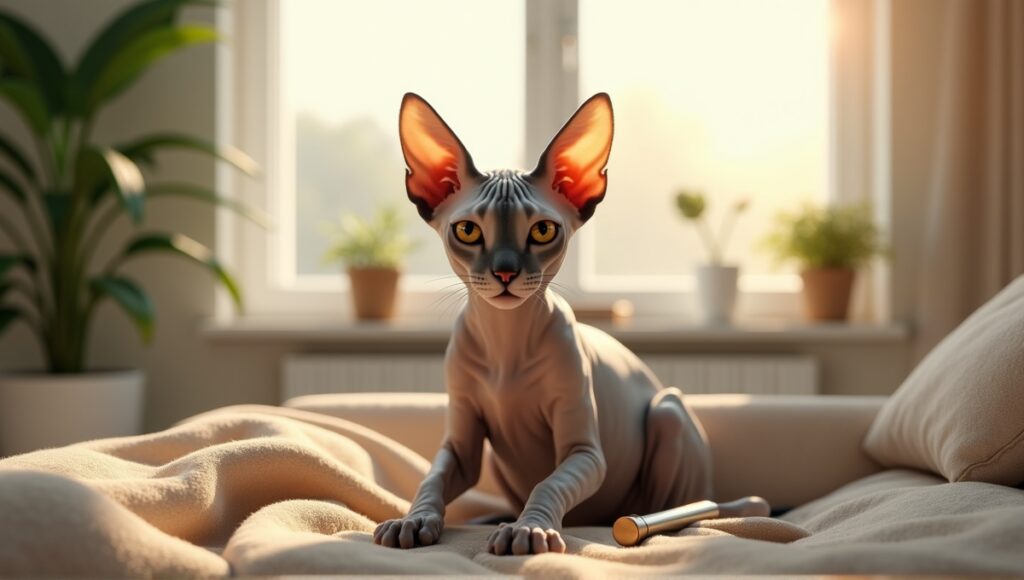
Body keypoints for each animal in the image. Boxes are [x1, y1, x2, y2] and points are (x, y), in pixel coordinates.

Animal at [376, 93, 761, 557]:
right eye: (467, 230)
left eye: (543, 230)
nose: (505, 272)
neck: (507, 343)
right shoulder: (461, 448)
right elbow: (430, 479)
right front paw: (414, 520)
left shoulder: (586, 453)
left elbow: (548, 483)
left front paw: (528, 530)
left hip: (667, 413)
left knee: (686, 506)